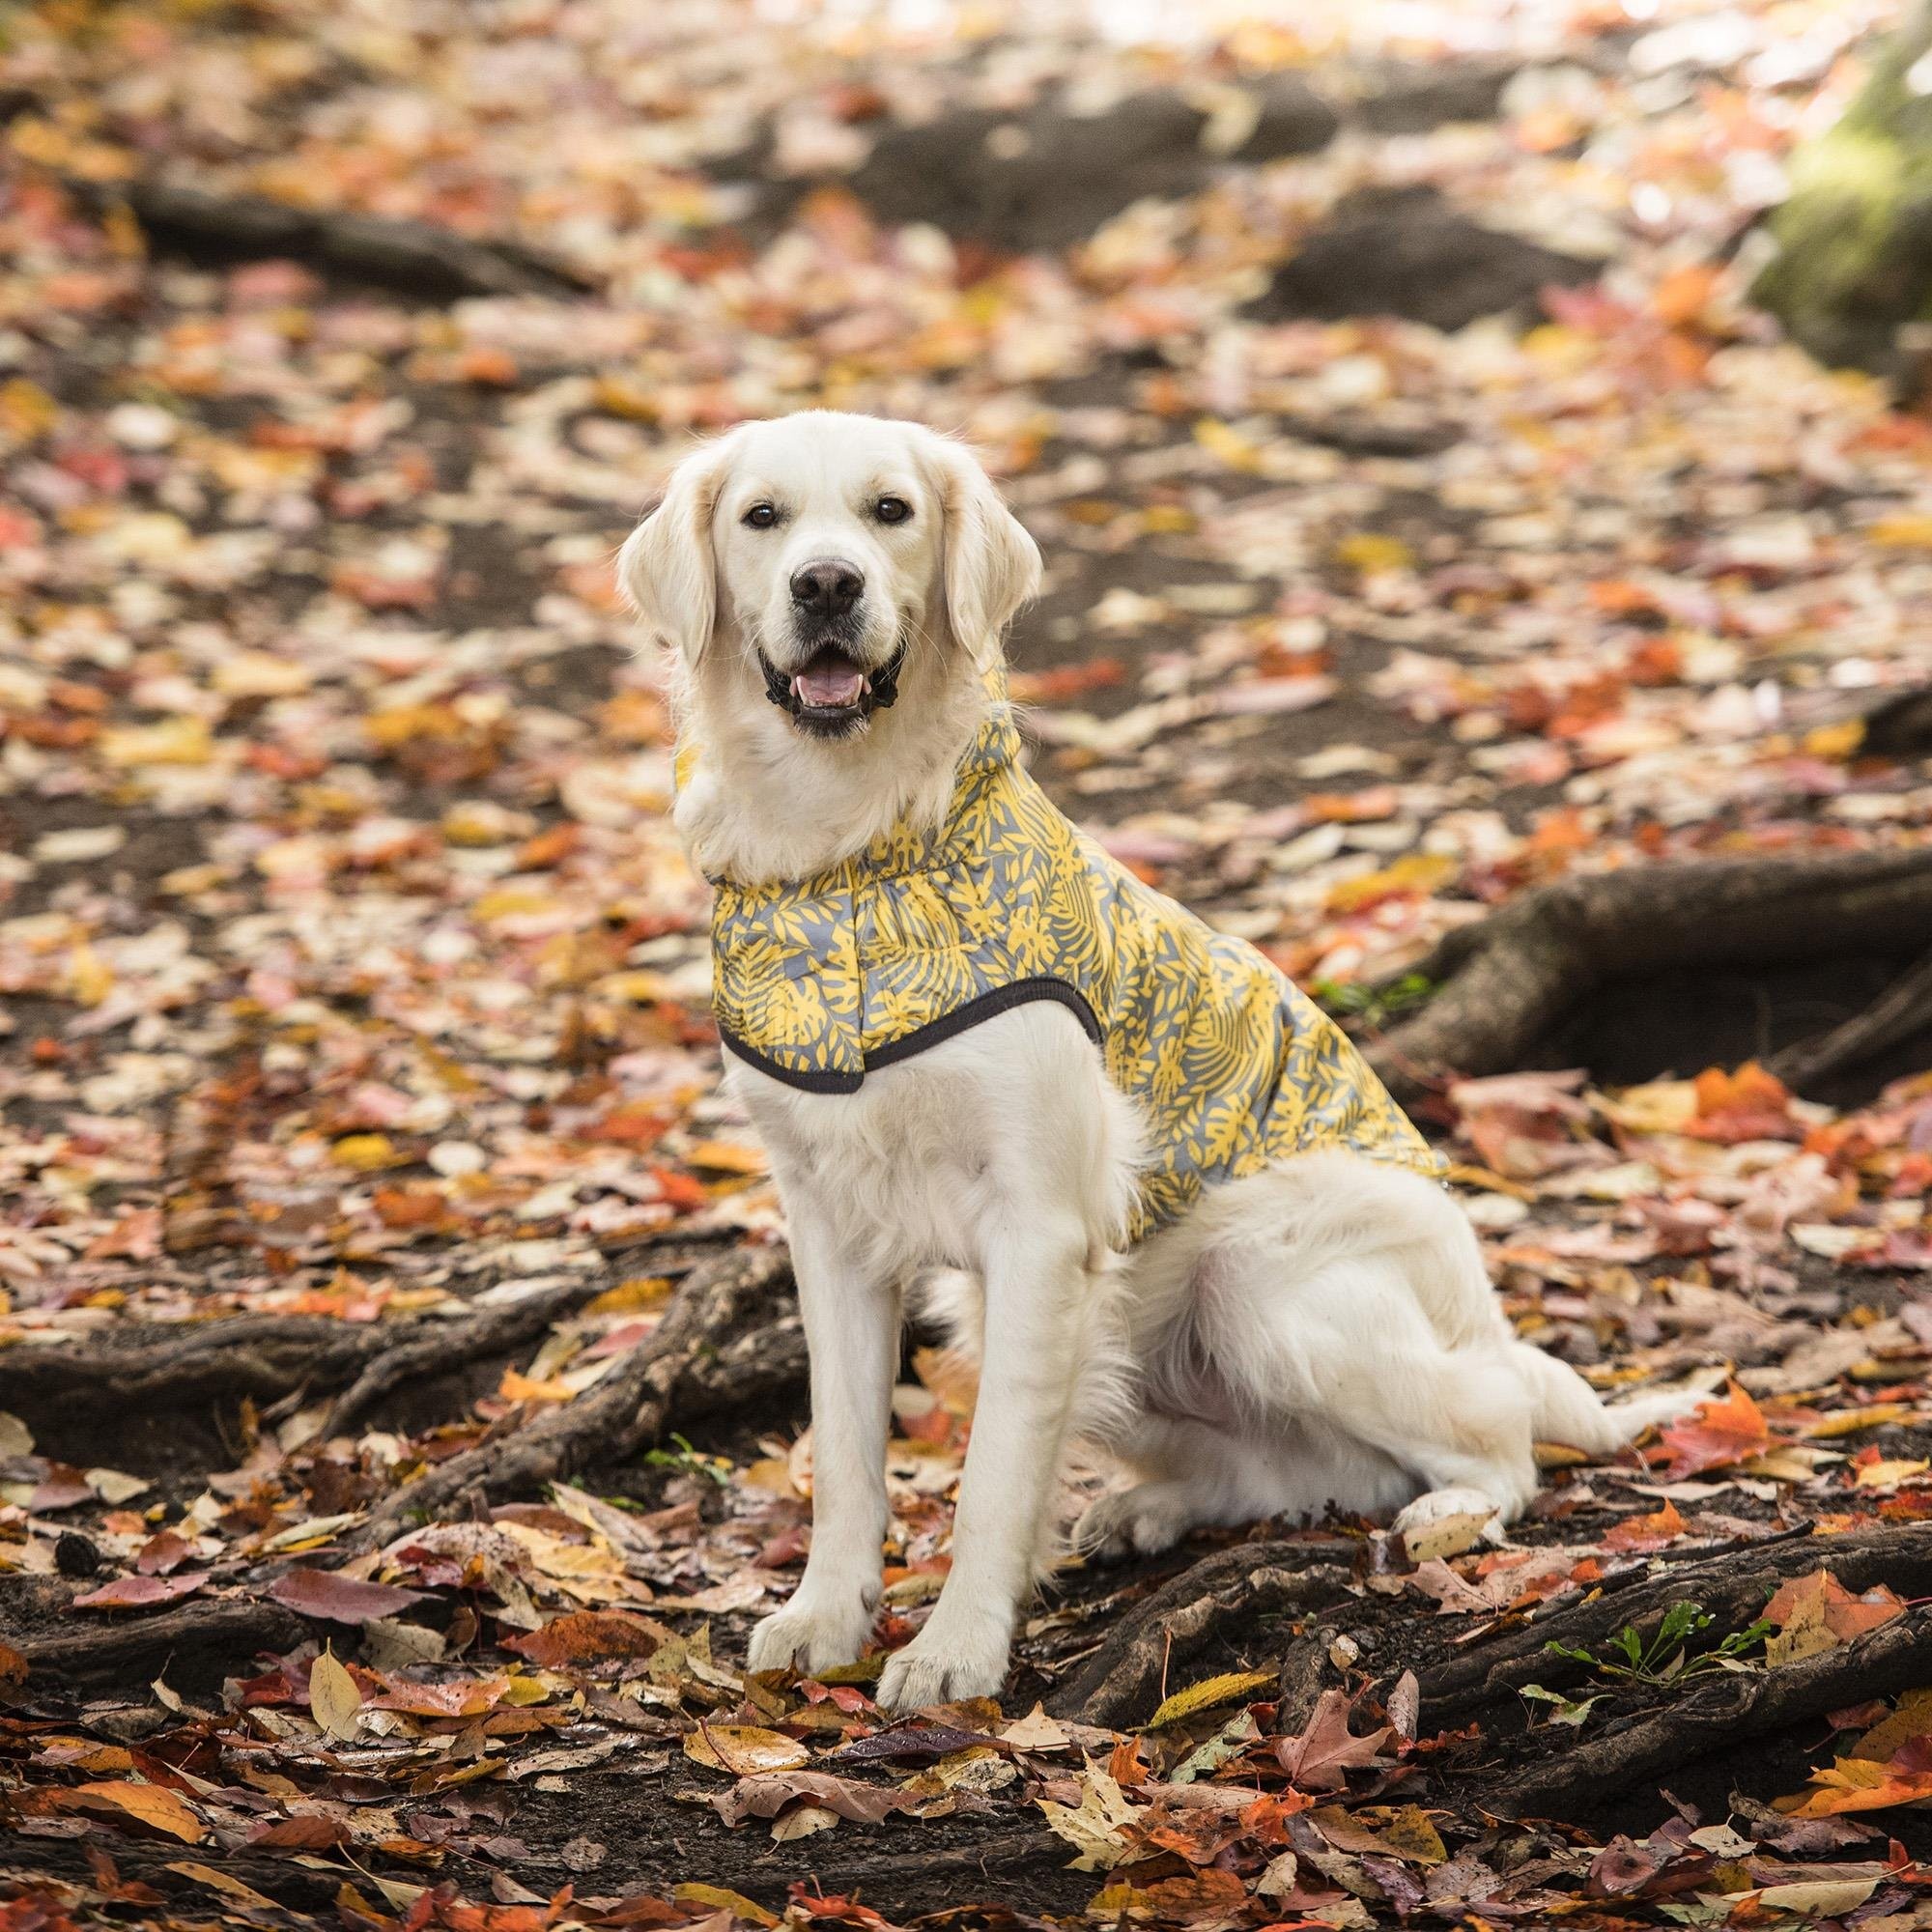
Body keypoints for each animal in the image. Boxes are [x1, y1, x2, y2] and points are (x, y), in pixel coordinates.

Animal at [622, 412, 1692, 1708]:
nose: (826, 585)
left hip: (1258, 1279)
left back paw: (1448, 1511)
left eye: (889, 511)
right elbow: (843, 1450)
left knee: (1493, 1434)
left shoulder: (1040, 1228)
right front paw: (826, 1613)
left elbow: (992, 1468)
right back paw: (1147, 1508)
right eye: (762, 518)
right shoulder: (828, 1225)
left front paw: (956, 1647)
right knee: (1308, 1471)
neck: (853, 861)